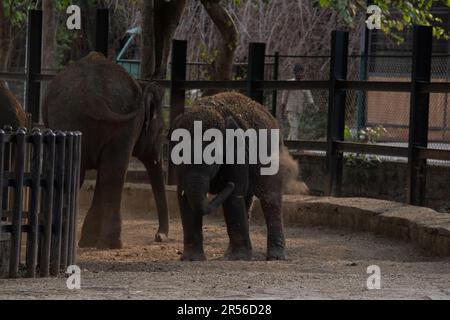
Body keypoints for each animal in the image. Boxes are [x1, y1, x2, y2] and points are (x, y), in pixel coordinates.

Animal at [43, 52, 169, 249]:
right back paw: (111, 243)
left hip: (71, 118)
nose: (158, 236)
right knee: (111, 174)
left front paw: (88, 241)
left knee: (92, 173)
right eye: (162, 130)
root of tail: (93, 95)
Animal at [171, 90, 290, 260]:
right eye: (179, 155)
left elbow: (234, 196)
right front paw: (191, 259)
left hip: (274, 157)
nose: (227, 185)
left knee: (270, 198)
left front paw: (238, 258)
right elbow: (183, 197)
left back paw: (275, 257)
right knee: (247, 199)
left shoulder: (236, 150)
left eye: (213, 155)